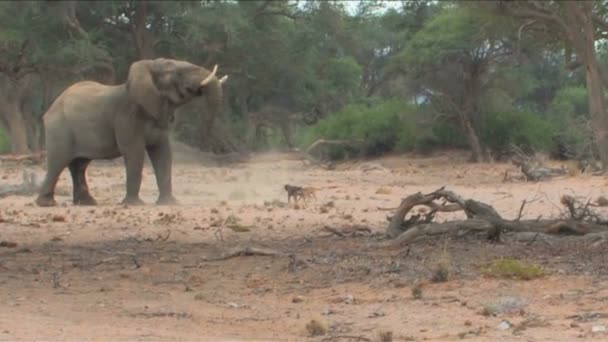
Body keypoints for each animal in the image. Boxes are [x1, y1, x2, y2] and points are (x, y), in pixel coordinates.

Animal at [35, 57, 228, 207]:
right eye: (177, 73)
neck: (148, 66)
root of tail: (53, 105)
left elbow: (163, 153)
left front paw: (170, 203)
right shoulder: (127, 116)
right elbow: (134, 151)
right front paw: (134, 204)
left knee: (79, 165)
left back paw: (87, 203)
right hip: (59, 128)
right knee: (58, 162)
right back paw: (47, 204)